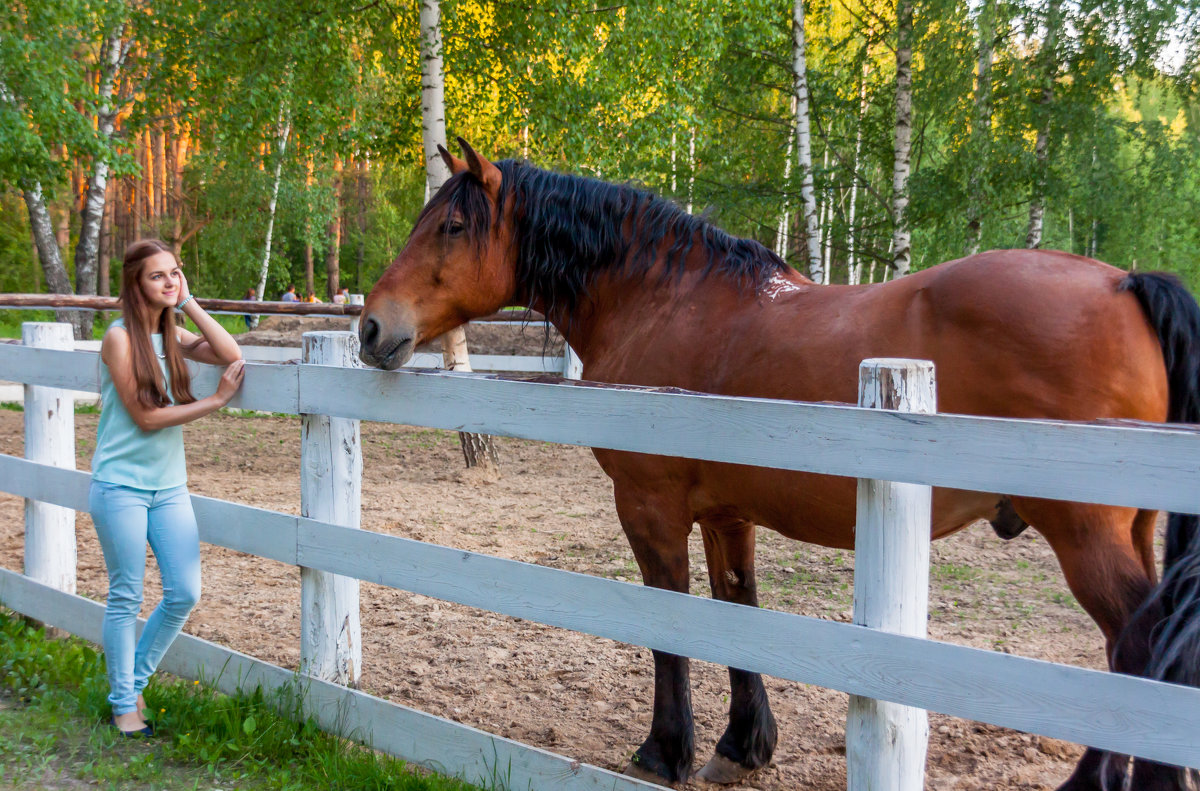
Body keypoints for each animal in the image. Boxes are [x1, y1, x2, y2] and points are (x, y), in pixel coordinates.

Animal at [362, 142, 1200, 791]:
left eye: (453, 225)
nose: (372, 327)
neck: (666, 300)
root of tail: (1122, 281)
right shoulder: (727, 513)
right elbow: (738, 607)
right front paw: (742, 746)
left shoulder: (650, 506)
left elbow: (672, 622)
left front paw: (666, 750)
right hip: (1132, 529)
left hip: (1085, 534)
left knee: (1141, 647)